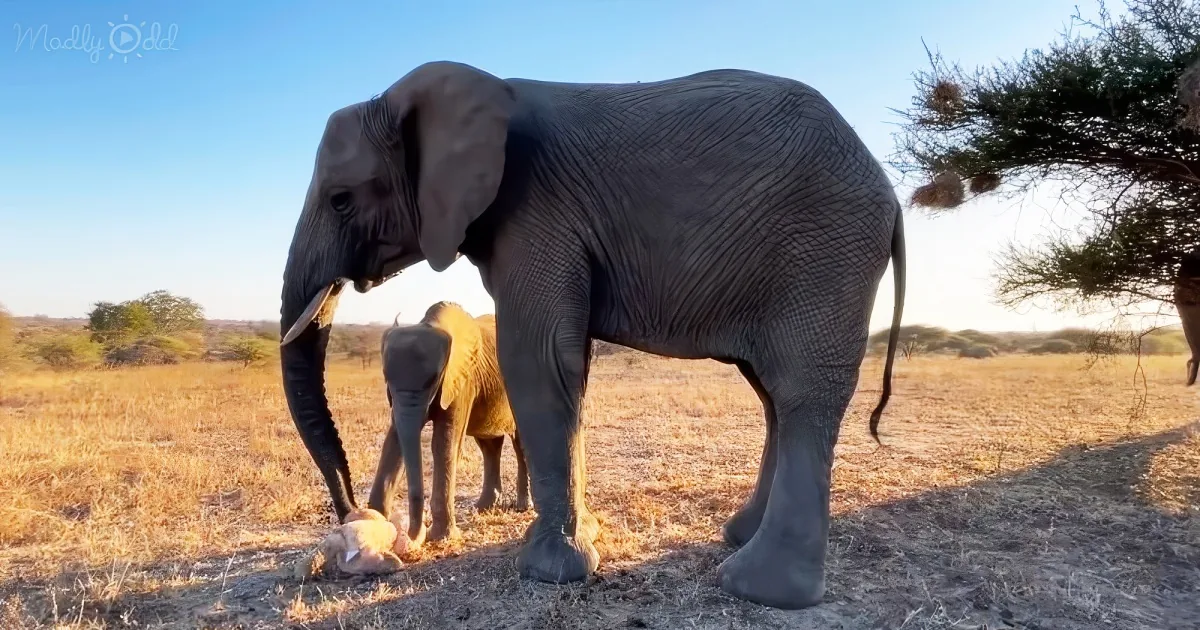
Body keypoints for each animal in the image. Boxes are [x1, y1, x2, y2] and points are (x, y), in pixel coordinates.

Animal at [365, 301, 529, 548]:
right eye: (385, 377)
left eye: (434, 378)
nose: (411, 535)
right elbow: (394, 440)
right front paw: (373, 522)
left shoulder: (461, 381)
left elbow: (444, 444)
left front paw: (441, 538)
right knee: (489, 446)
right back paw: (484, 507)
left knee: (520, 443)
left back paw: (522, 507)